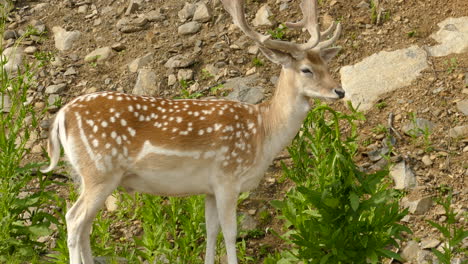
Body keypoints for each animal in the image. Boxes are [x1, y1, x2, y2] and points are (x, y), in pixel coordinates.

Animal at [41, 0, 344, 264]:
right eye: (306, 69)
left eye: (326, 65)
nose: (339, 91)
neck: (263, 132)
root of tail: (62, 115)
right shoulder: (227, 177)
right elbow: (230, 234)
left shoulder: (208, 188)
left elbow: (210, 231)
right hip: (100, 171)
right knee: (74, 219)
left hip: (88, 175)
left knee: (85, 225)